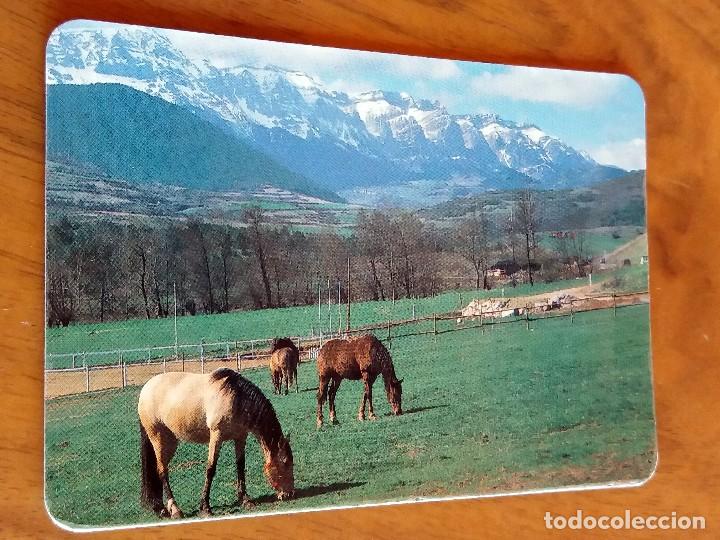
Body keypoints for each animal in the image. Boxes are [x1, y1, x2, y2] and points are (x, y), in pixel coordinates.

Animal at [138, 368, 294, 519]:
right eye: (285, 462)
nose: (289, 493)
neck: (235, 397)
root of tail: (146, 389)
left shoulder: (240, 437)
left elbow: (240, 466)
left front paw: (245, 499)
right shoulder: (216, 436)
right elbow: (210, 469)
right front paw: (205, 507)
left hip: (170, 442)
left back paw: (161, 508)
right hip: (158, 438)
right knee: (162, 471)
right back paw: (175, 510)